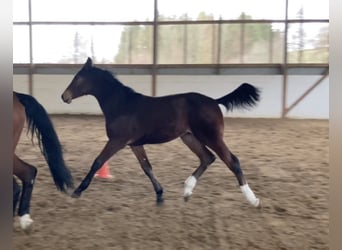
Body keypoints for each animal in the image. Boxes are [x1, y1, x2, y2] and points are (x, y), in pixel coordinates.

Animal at [61, 58, 260, 207]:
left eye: (78, 78)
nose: (64, 97)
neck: (121, 105)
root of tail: (214, 101)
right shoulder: (135, 144)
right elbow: (147, 167)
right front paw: (160, 195)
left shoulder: (117, 141)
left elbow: (98, 162)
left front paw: (77, 191)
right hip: (189, 137)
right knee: (207, 158)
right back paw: (187, 191)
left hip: (211, 137)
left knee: (232, 161)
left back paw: (253, 199)